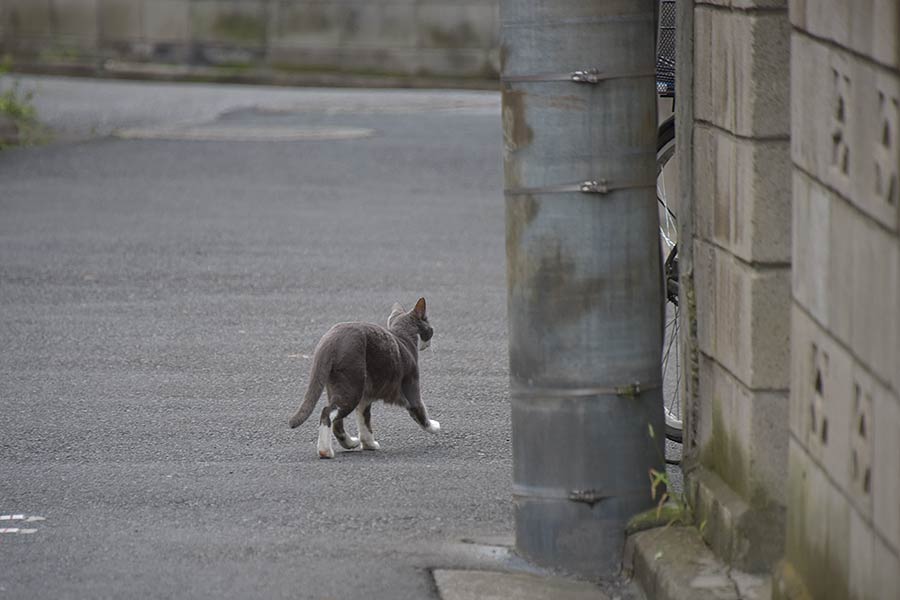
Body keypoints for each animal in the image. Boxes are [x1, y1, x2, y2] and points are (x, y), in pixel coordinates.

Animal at [288, 298, 440, 458]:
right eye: (430, 327)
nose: (431, 339)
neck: (403, 337)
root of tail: (330, 340)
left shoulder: (366, 396)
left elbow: (364, 421)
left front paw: (369, 445)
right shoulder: (410, 382)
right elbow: (419, 410)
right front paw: (435, 426)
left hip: (340, 385)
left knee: (337, 421)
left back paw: (350, 443)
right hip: (352, 386)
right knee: (328, 412)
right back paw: (325, 451)